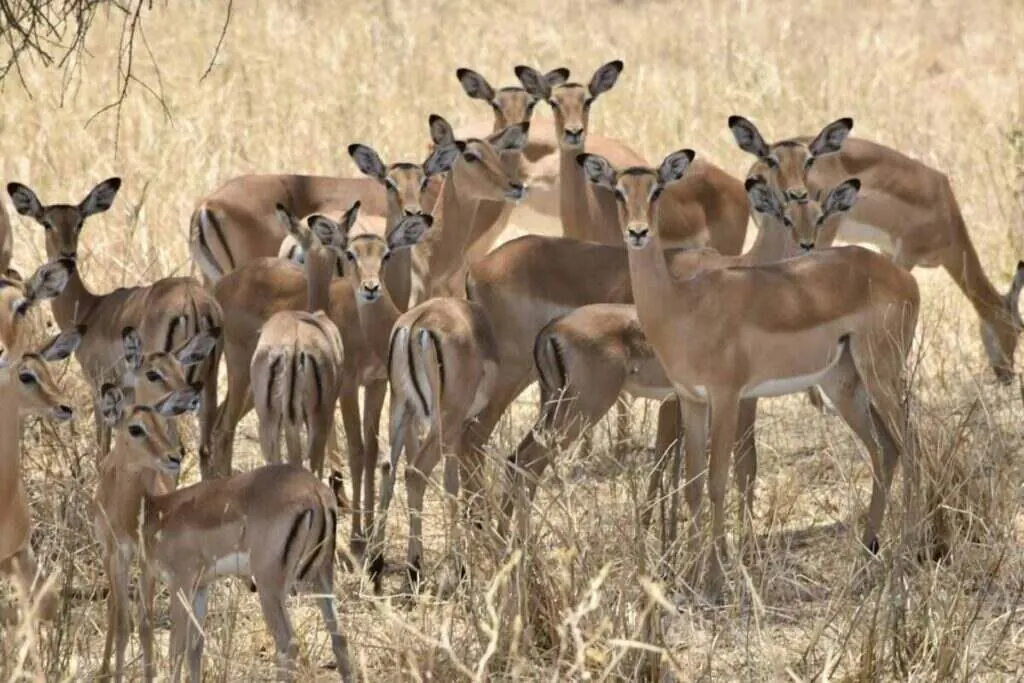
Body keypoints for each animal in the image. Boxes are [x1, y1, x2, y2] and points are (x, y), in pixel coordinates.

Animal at [5, 179, 224, 464]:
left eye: (80, 222)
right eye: (47, 222)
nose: (68, 254)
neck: (91, 309)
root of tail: (192, 299)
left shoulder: (100, 386)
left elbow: (103, 448)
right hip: (207, 385)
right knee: (208, 447)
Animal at [94, 384, 352, 682]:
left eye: (160, 423)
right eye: (136, 428)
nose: (174, 457)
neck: (156, 512)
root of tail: (316, 493)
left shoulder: (180, 583)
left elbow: (175, 650)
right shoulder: (200, 587)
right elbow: (194, 650)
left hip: (270, 586)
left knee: (288, 644)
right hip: (322, 576)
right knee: (340, 639)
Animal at [580, 147, 923, 601]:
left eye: (656, 191)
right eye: (618, 191)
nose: (637, 232)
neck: (683, 306)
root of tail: (902, 277)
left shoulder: (727, 397)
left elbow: (718, 481)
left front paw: (713, 581)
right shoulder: (691, 399)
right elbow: (692, 483)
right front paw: (689, 578)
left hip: (881, 374)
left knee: (912, 445)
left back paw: (911, 551)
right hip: (844, 386)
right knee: (885, 449)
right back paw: (867, 557)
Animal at [728, 115, 1024, 385]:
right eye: (1017, 329)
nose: (1007, 376)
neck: (947, 214)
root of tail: (756, 169)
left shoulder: (886, 251)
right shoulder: (906, 255)